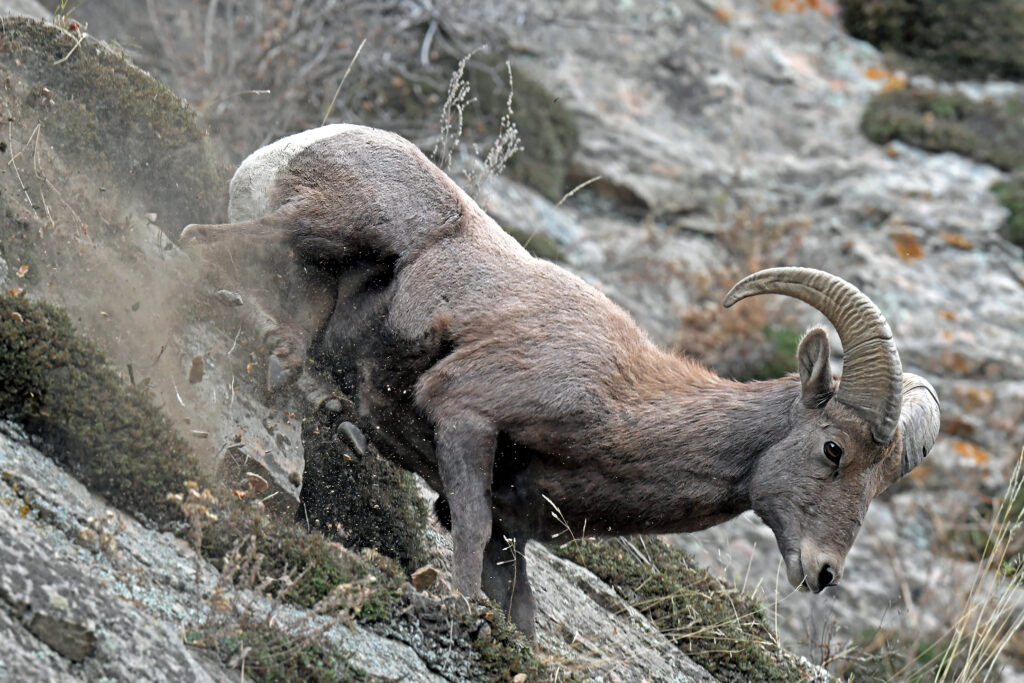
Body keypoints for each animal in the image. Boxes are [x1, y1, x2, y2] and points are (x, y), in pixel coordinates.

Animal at [180, 121, 937, 634]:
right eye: (833, 449)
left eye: (879, 481)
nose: (823, 572)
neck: (623, 407)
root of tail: (294, 147)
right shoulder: (466, 419)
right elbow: (470, 535)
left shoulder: (514, 532)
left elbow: (520, 611)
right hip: (334, 226)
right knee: (199, 243)